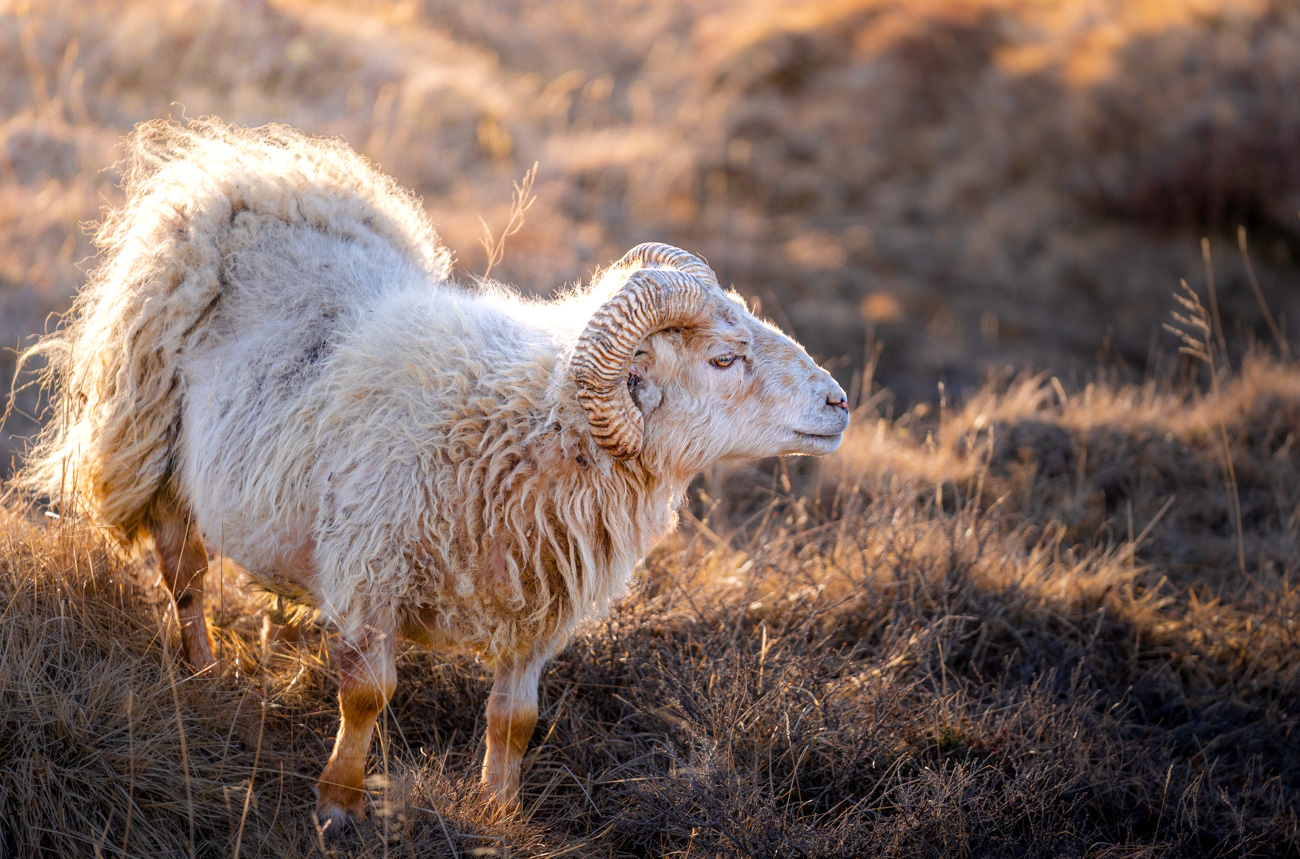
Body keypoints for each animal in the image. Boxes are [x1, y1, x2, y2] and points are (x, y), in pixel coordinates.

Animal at [16, 118, 850, 829]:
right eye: (724, 359)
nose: (840, 402)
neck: (530, 424)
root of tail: (248, 172)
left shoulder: (536, 607)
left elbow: (514, 719)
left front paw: (500, 811)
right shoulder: (370, 571)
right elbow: (365, 694)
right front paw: (338, 804)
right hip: (151, 446)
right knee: (184, 573)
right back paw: (198, 667)